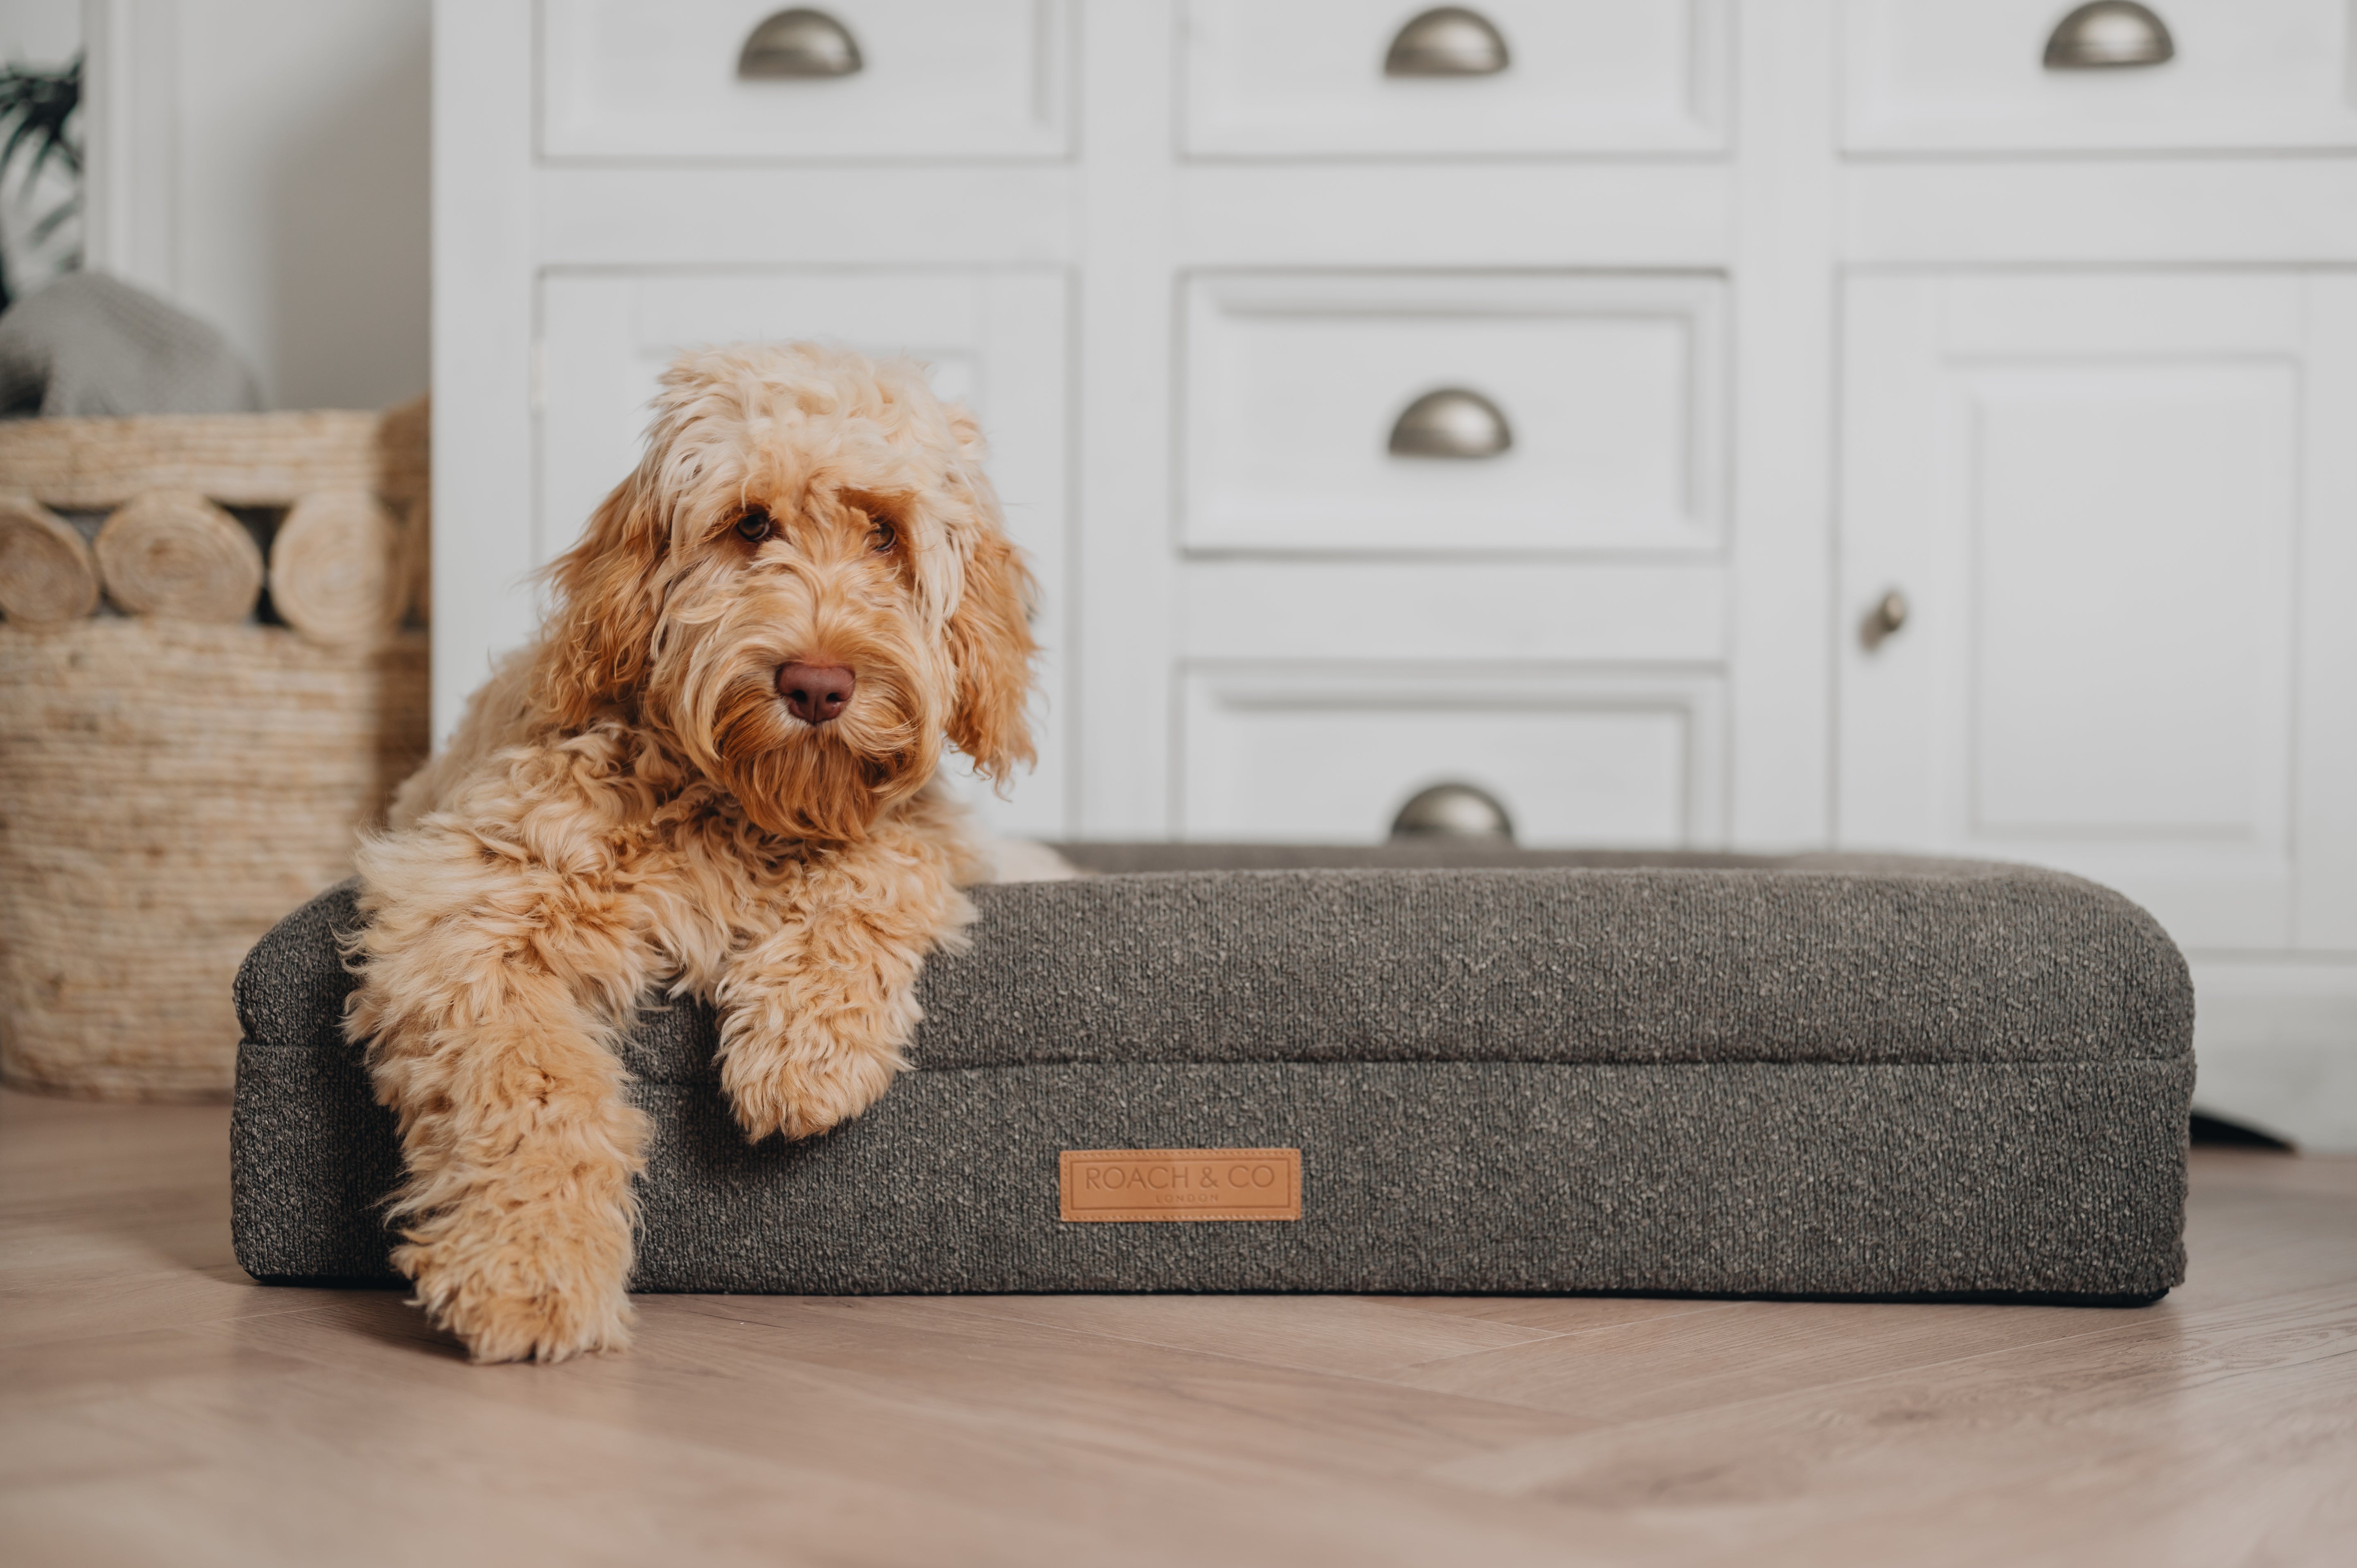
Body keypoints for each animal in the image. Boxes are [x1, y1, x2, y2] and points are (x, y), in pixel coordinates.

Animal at [344, 339, 1037, 1358]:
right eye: (751, 525)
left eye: (884, 534)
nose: (818, 685)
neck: (740, 805)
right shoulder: (469, 908)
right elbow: (526, 1076)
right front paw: (530, 1269)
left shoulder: (926, 837)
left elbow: (875, 864)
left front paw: (804, 1053)